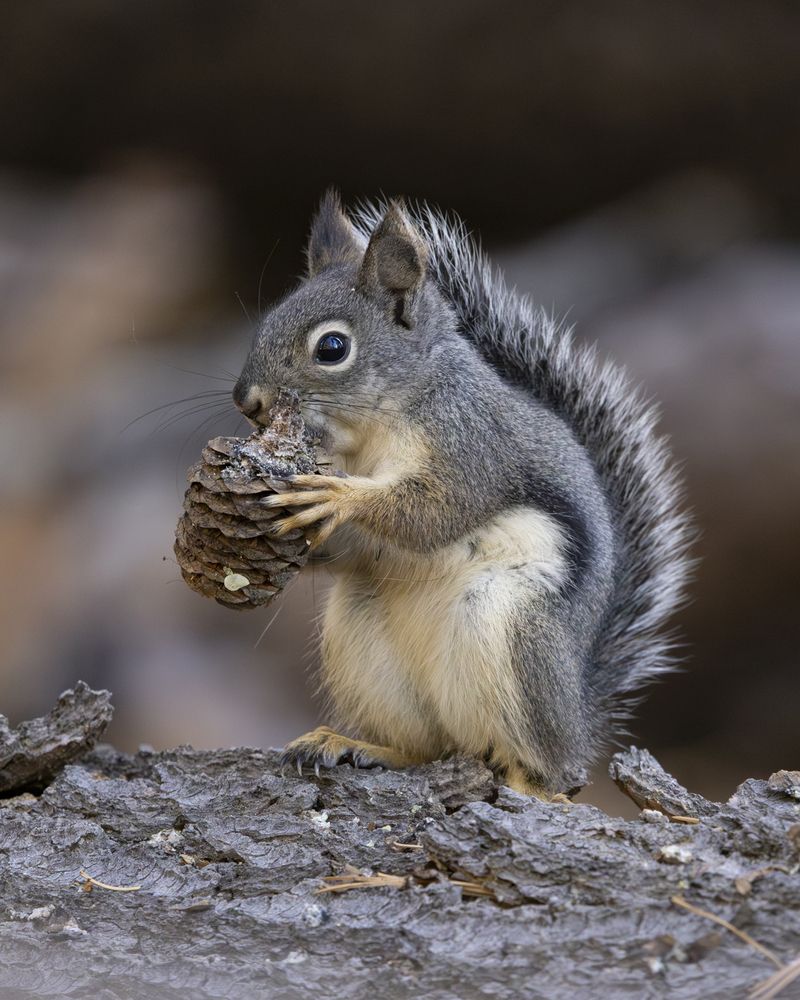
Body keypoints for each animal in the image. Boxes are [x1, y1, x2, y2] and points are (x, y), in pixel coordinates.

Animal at [232, 191, 692, 797]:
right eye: (266, 321)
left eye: (331, 347)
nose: (247, 401)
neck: (370, 433)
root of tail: (577, 717)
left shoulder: (471, 442)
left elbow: (438, 510)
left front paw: (339, 498)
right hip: (363, 635)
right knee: (427, 747)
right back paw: (355, 745)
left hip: (511, 628)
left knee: (541, 765)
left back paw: (532, 784)